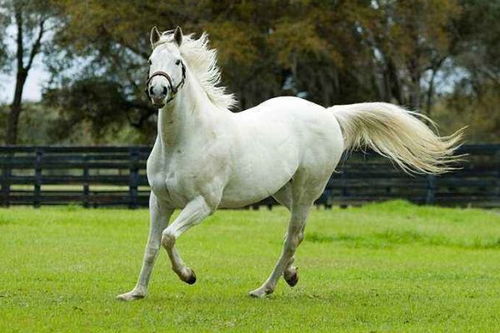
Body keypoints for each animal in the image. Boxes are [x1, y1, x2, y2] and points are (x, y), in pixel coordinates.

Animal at [117, 27, 460, 300]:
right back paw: (290, 274)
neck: (185, 140)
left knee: (292, 236)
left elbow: (168, 237)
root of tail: (328, 113)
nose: (158, 91)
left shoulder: (203, 203)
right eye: (150, 62)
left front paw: (188, 275)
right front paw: (135, 293)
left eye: (178, 62)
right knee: (295, 235)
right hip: (285, 190)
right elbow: (152, 245)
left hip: (308, 190)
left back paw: (264, 289)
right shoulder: (159, 201)